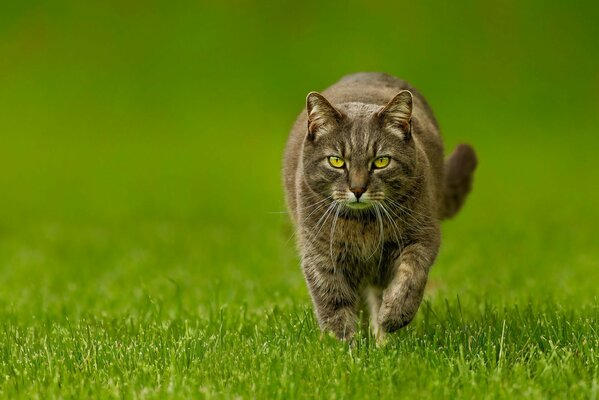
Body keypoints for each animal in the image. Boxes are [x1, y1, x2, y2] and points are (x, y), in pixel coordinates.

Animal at [282, 72, 478, 344]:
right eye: (336, 161)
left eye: (381, 161)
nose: (357, 188)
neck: (363, 224)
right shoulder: (319, 253)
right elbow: (333, 303)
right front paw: (344, 346)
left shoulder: (422, 237)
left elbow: (410, 276)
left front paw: (394, 315)